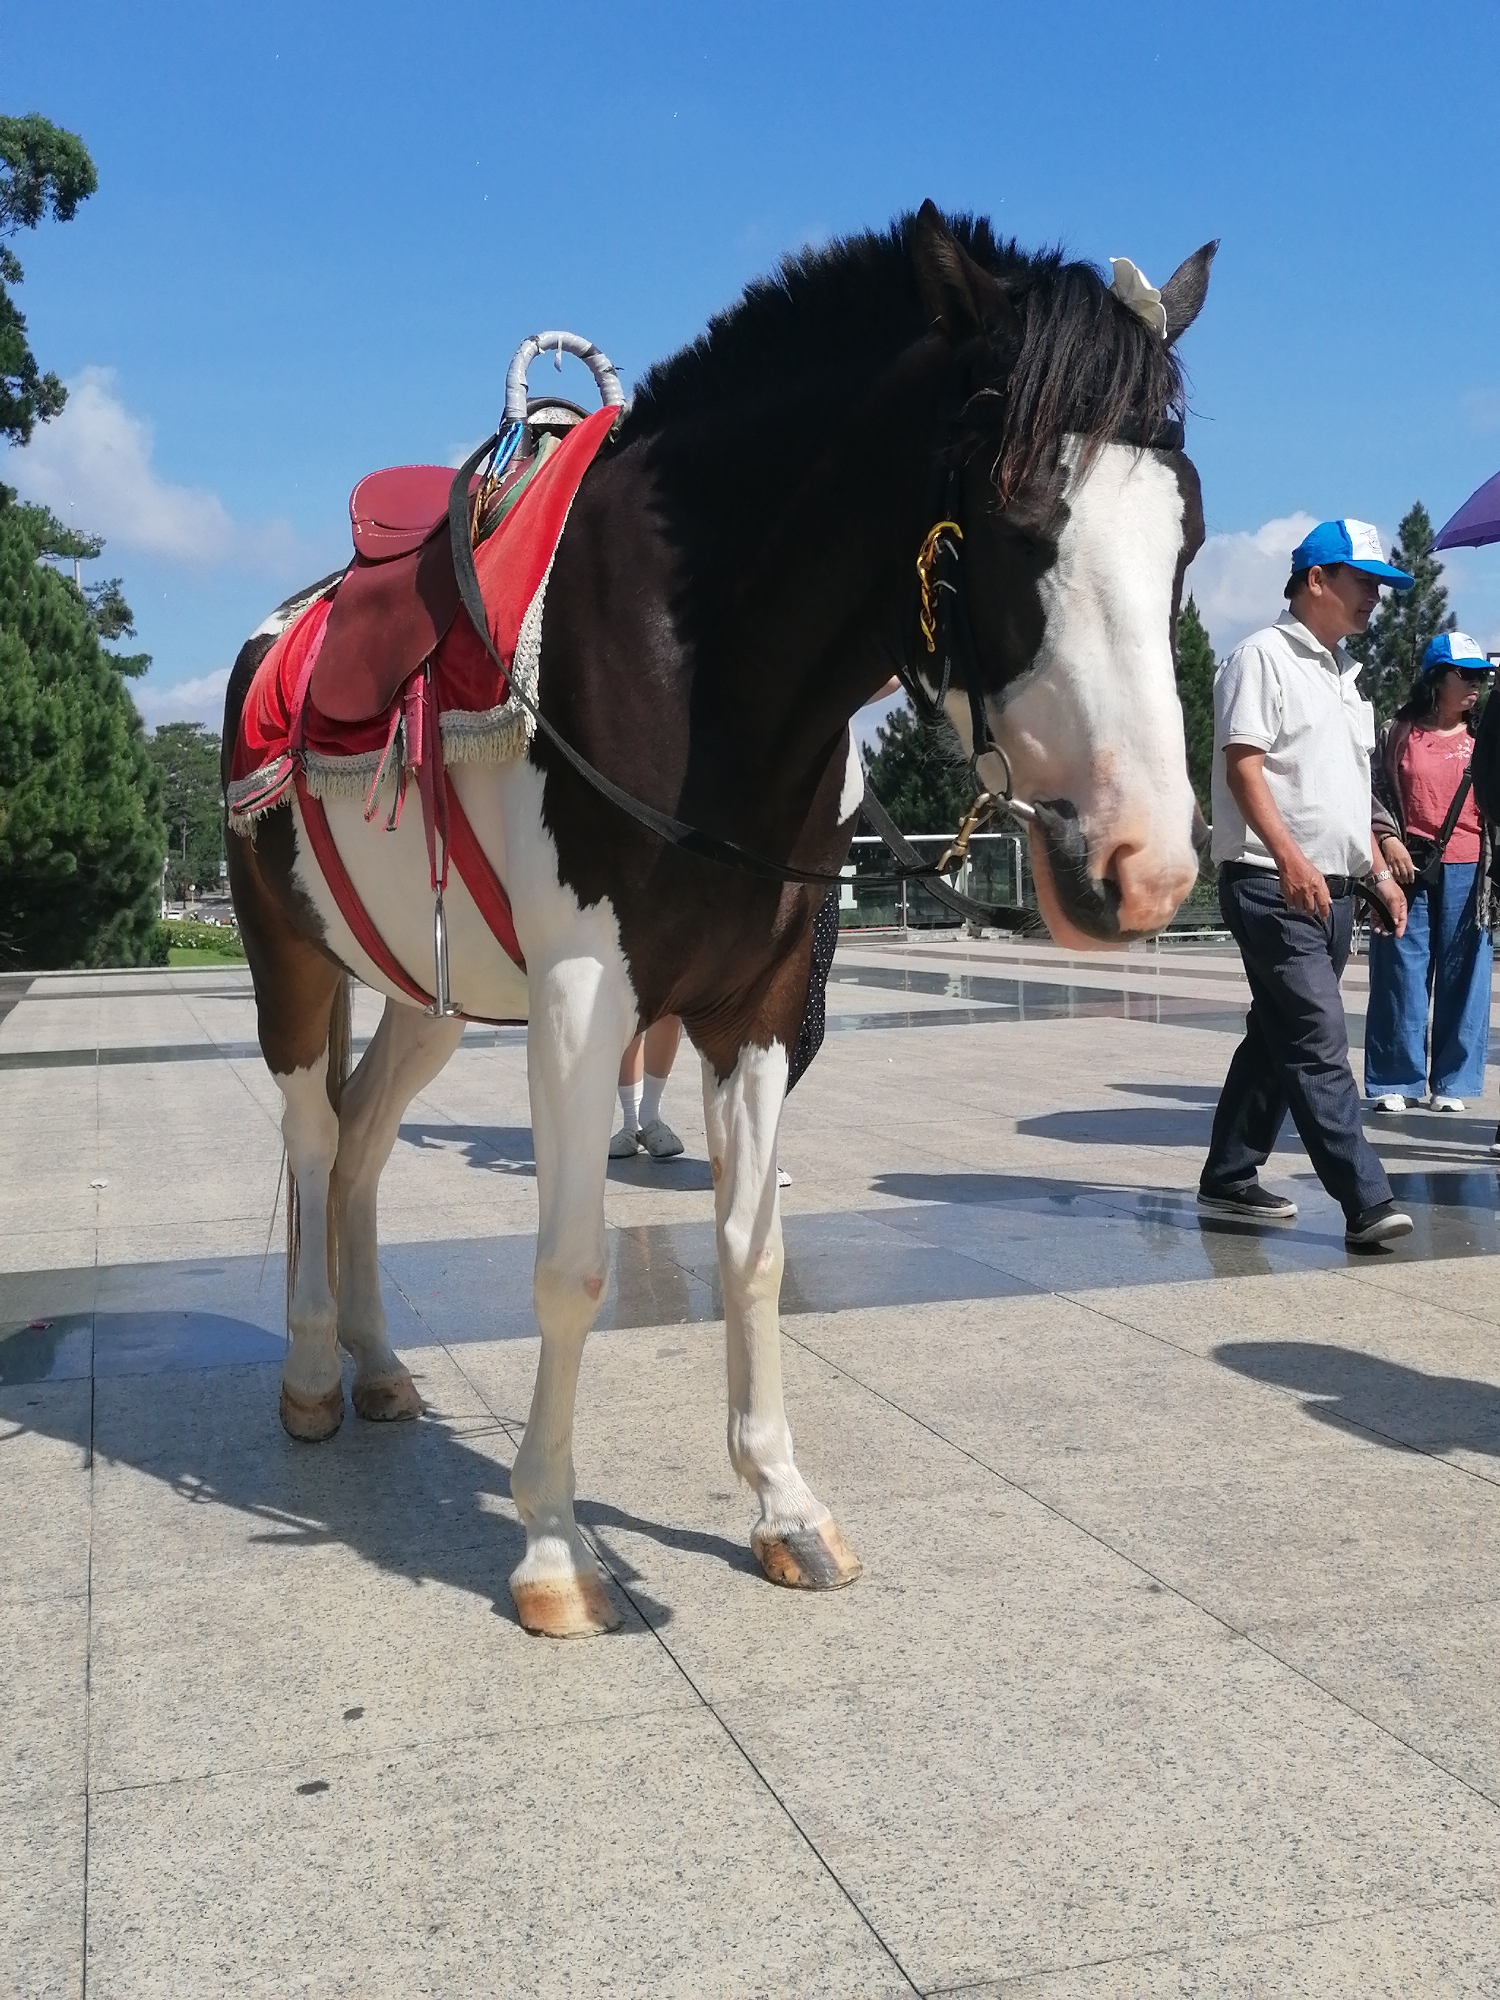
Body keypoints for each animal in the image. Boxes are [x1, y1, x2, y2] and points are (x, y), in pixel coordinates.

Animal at [221, 202, 1213, 1638]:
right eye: (1020, 522)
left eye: (1187, 535)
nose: (1144, 864)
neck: (701, 668)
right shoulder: (585, 997)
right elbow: (571, 1265)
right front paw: (553, 1544)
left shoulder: (762, 1004)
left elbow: (751, 1252)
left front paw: (784, 1505)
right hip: (292, 958)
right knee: (309, 1137)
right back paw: (309, 1371)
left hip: (426, 992)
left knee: (359, 1147)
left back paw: (378, 1360)